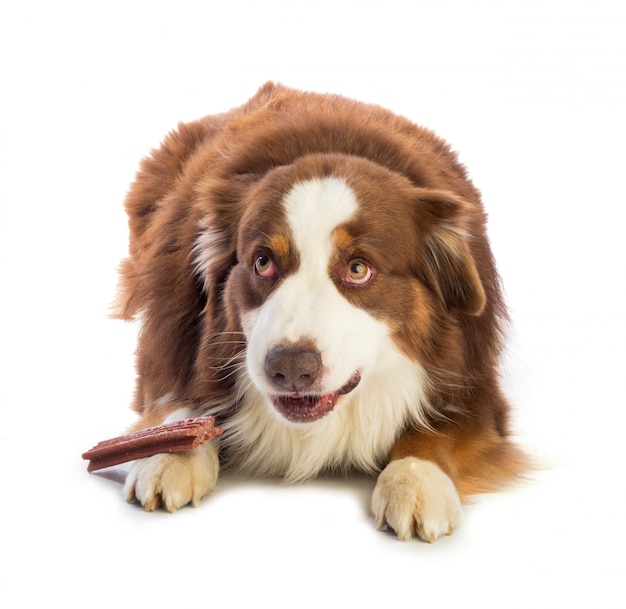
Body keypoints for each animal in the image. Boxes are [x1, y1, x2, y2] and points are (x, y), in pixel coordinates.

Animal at [113, 82, 528, 540]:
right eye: (262, 262)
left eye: (358, 269)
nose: (291, 367)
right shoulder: (167, 345)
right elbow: (177, 399)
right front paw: (171, 456)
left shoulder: (475, 381)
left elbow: (438, 431)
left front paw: (417, 481)